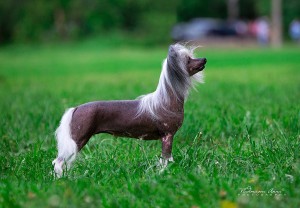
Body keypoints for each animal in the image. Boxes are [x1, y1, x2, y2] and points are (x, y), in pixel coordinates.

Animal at [52, 44, 206, 177]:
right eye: (188, 60)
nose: (204, 59)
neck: (166, 99)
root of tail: (76, 108)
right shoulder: (167, 136)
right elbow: (166, 159)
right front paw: (165, 172)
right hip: (78, 138)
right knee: (58, 162)